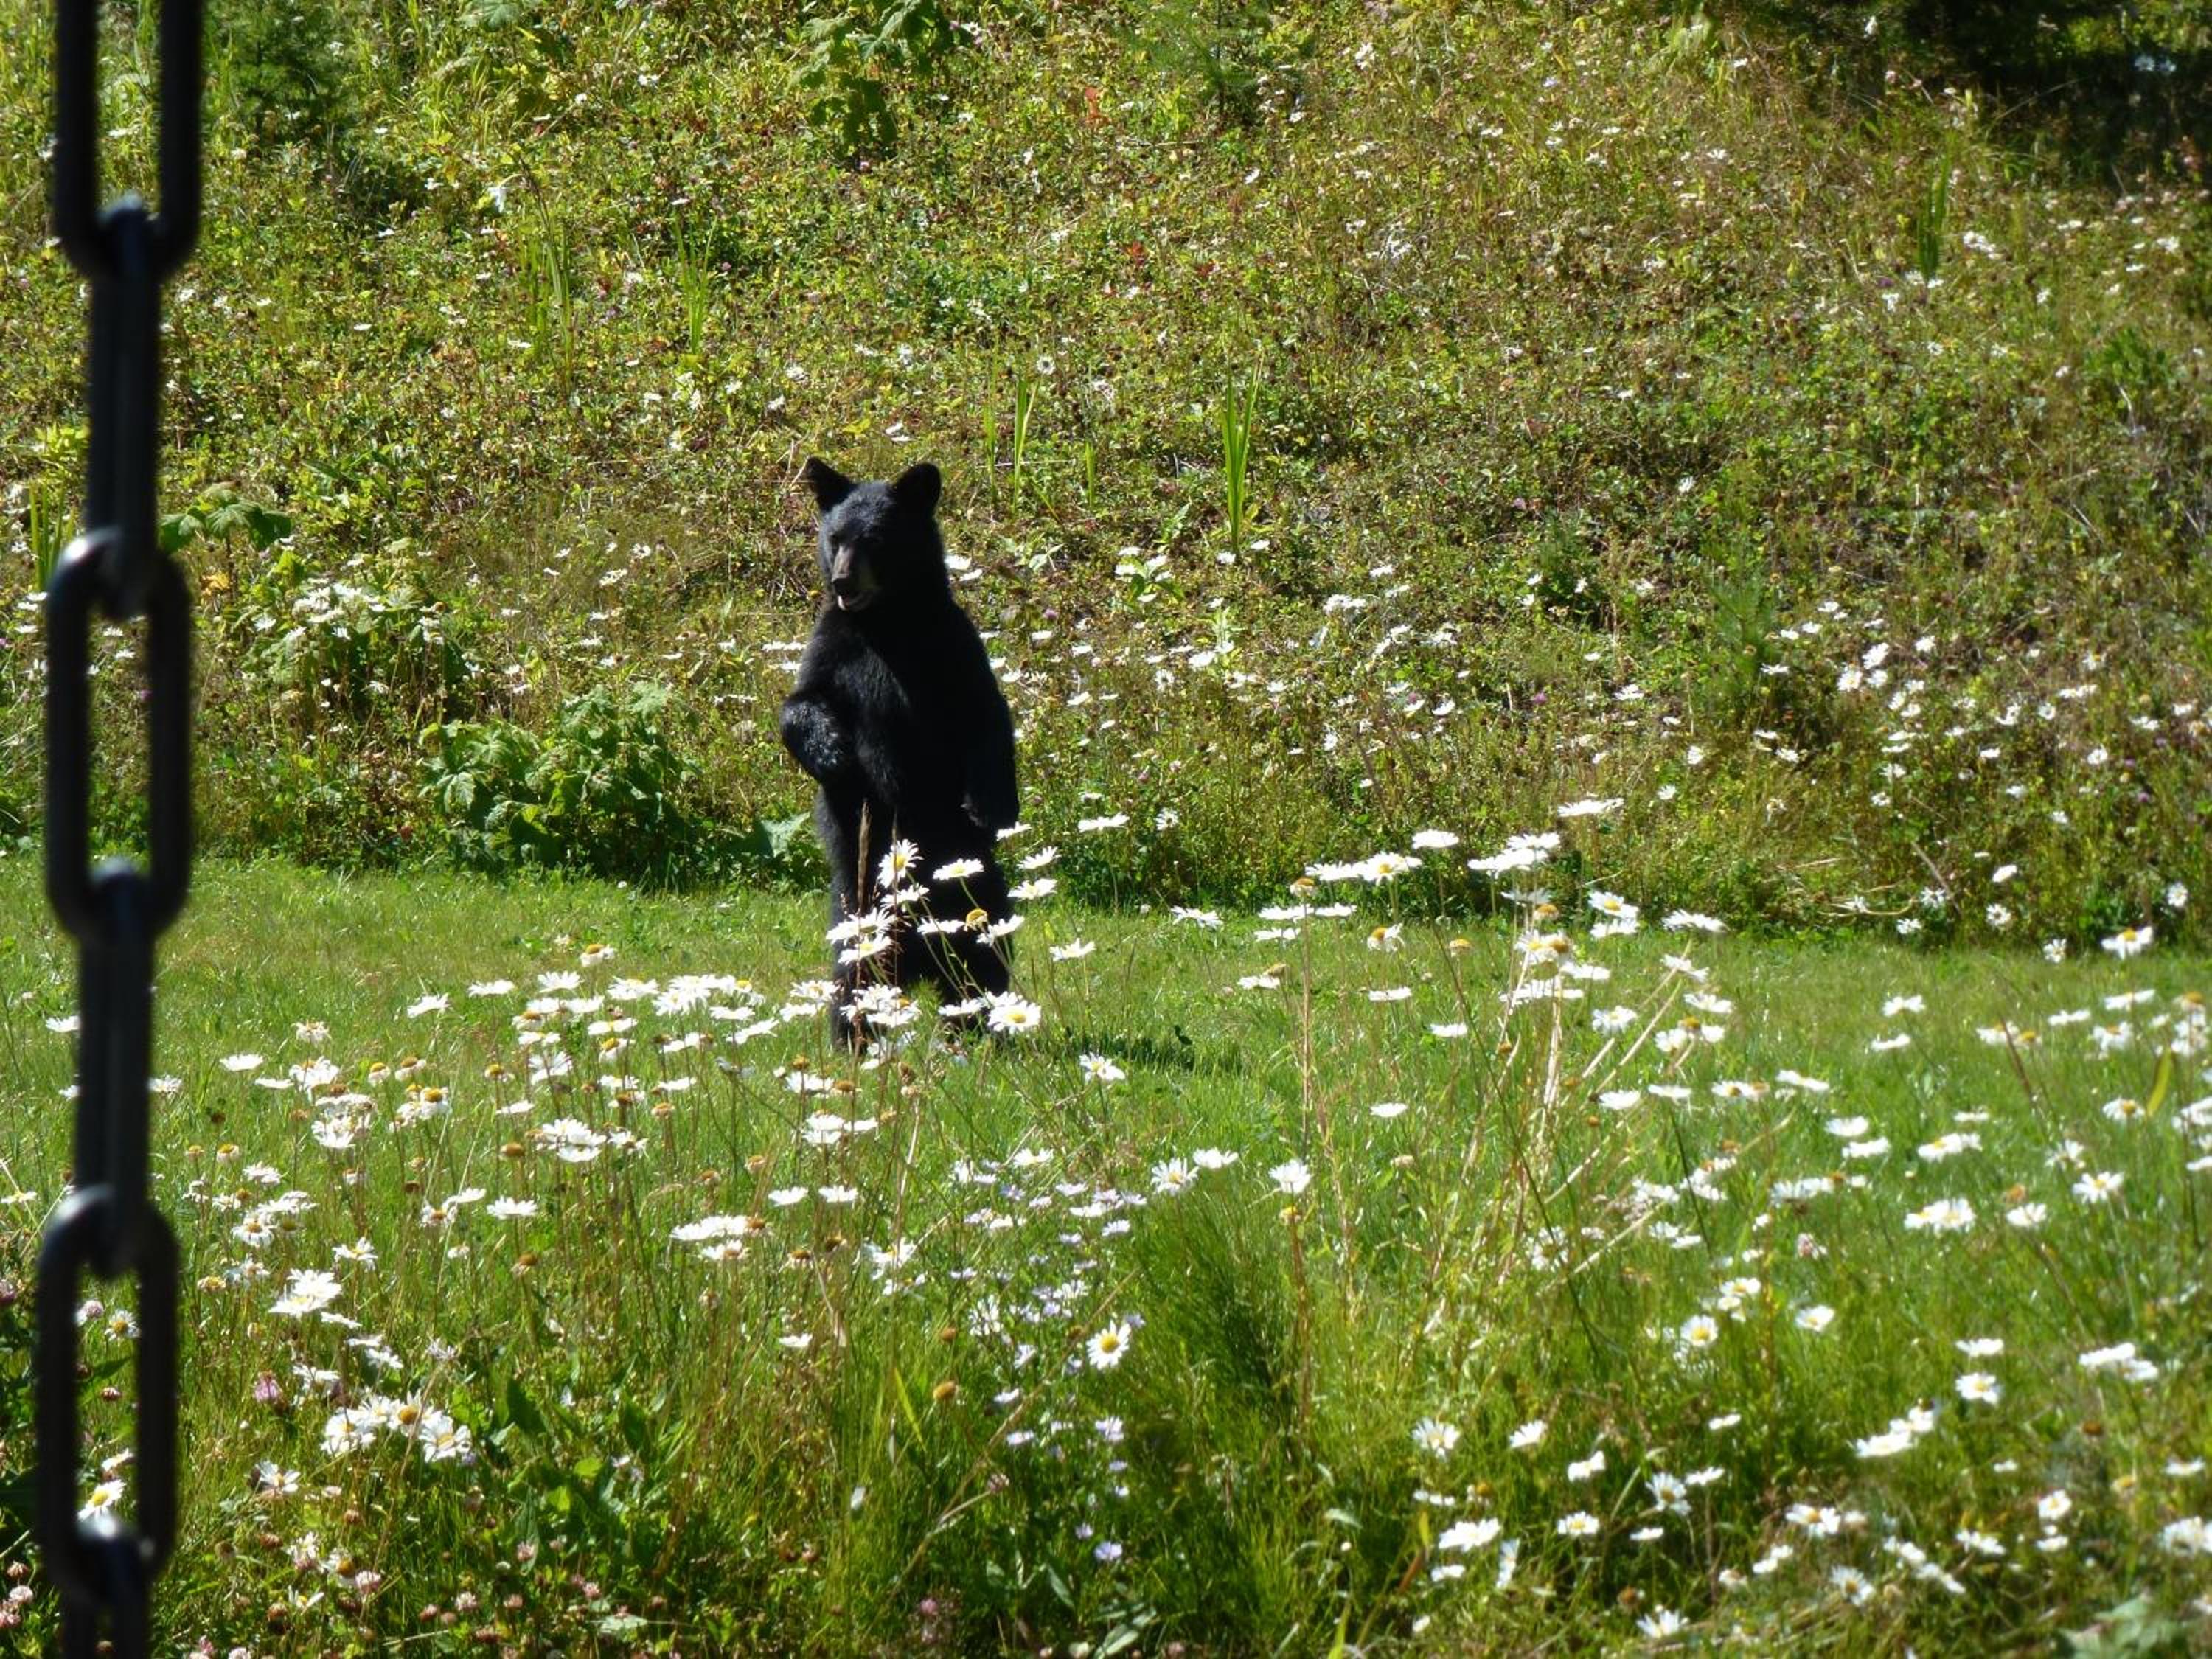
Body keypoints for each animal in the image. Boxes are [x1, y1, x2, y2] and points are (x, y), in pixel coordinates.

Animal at [778, 457, 1020, 1046]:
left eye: (874, 540)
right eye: (835, 538)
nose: (842, 580)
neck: (887, 624)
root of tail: (918, 964)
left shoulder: (951, 648)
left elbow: (987, 716)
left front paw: (991, 806)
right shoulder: (833, 648)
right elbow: (799, 704)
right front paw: (832, 750)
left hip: (976, 894)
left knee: (984, 958)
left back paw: (980, 1026)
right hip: (856, 910)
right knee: (853, 972)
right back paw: (854, 1035)